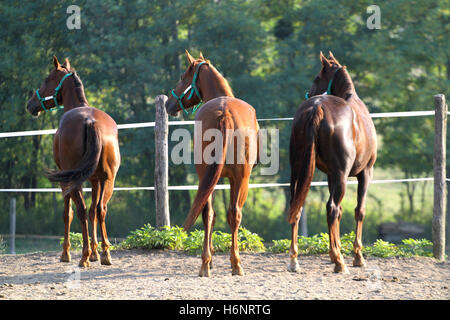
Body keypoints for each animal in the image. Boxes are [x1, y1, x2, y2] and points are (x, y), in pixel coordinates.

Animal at [26, 57, 119, 268]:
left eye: (47, 79)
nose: (30, 104)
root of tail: (91, 122)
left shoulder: (65, 181)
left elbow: (67, 214)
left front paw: (66, 253)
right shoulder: (95, 180)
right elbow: (94, 211)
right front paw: (96, 252)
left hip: (74, 180)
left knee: (81, 211)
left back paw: (83, 257)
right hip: (108, 180)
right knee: (100, 210)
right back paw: (105, 254)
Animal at [165, 49, 258, 276]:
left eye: (182, 76)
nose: (168, 103)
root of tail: (224, 113)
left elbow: (211, 215)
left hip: (209, 177)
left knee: (209, 213)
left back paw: (206, 263)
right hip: (240, 179)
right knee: (233, 214)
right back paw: (234, 263)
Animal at [288, 52, 376, 272]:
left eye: (316, 78)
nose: (309, 93)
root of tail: (316, 107)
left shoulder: (330, 176)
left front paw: (333, 250)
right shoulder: (365, 173)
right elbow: (359, 210)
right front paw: (357, 256)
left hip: (298, 170)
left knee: (296, 206)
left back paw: (294, 259)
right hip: (342, 176)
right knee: (332, 208)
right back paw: (339, 262)